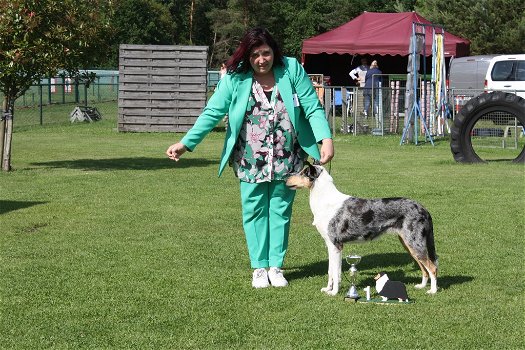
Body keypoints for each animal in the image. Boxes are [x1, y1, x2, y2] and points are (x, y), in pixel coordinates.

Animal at [284, 163, 436, 296]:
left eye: (303, 173)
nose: (285, 179)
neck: (325, 200)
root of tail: (424, 208)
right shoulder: (330, 245)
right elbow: (331, 271)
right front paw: (328, 289)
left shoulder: (335, 245)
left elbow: (335, 272)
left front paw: (333, 293)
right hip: (408, 244)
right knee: (424, 267)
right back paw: (422, 286)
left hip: (415, 243)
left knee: (432, 267)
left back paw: (432, 291)